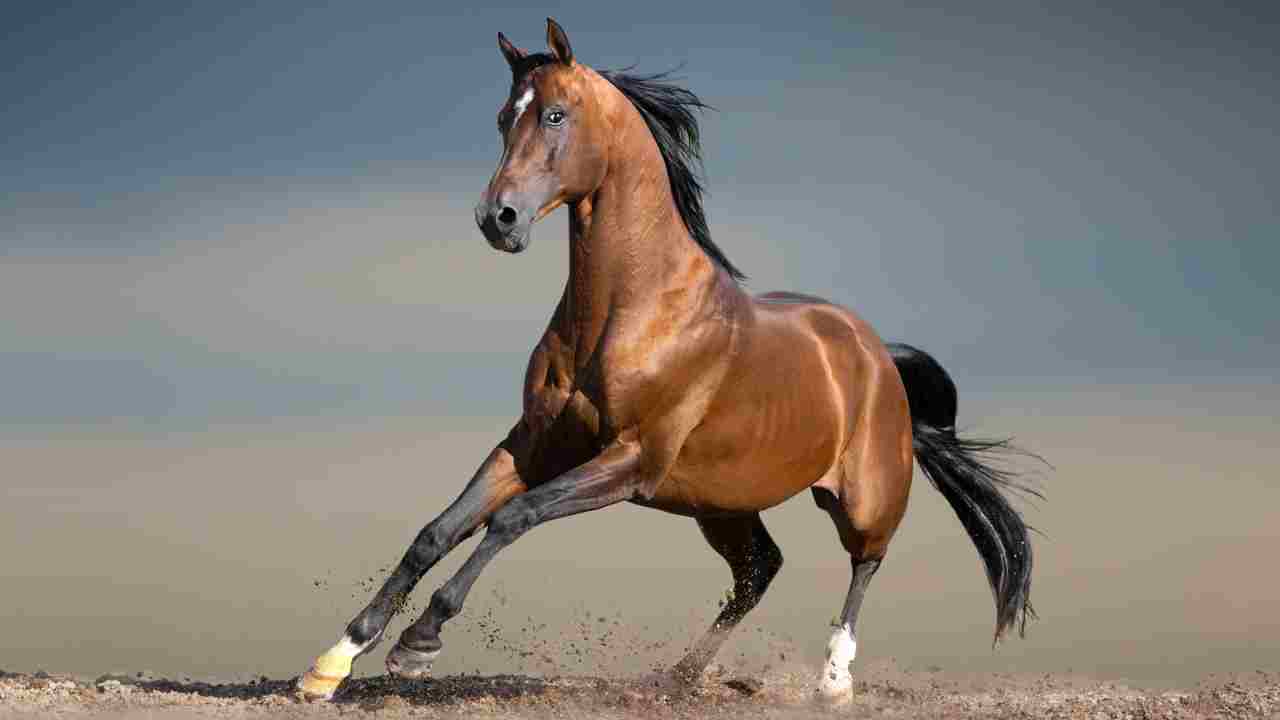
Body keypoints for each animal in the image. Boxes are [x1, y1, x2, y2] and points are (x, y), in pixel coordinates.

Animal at [298, 18, 1038, 704]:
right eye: (505, 117)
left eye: (555, 114)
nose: (498, 218)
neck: (629, 310)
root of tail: (877, 354)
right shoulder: (532, 444)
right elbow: (437, 530)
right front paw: (333, 662)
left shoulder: (632, 460)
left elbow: (513, 517)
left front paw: (420, 641)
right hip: (722, 505)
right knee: (759, 570)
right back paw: (677, 678)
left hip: (863, 496)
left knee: (865, 562)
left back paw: (831, 683)